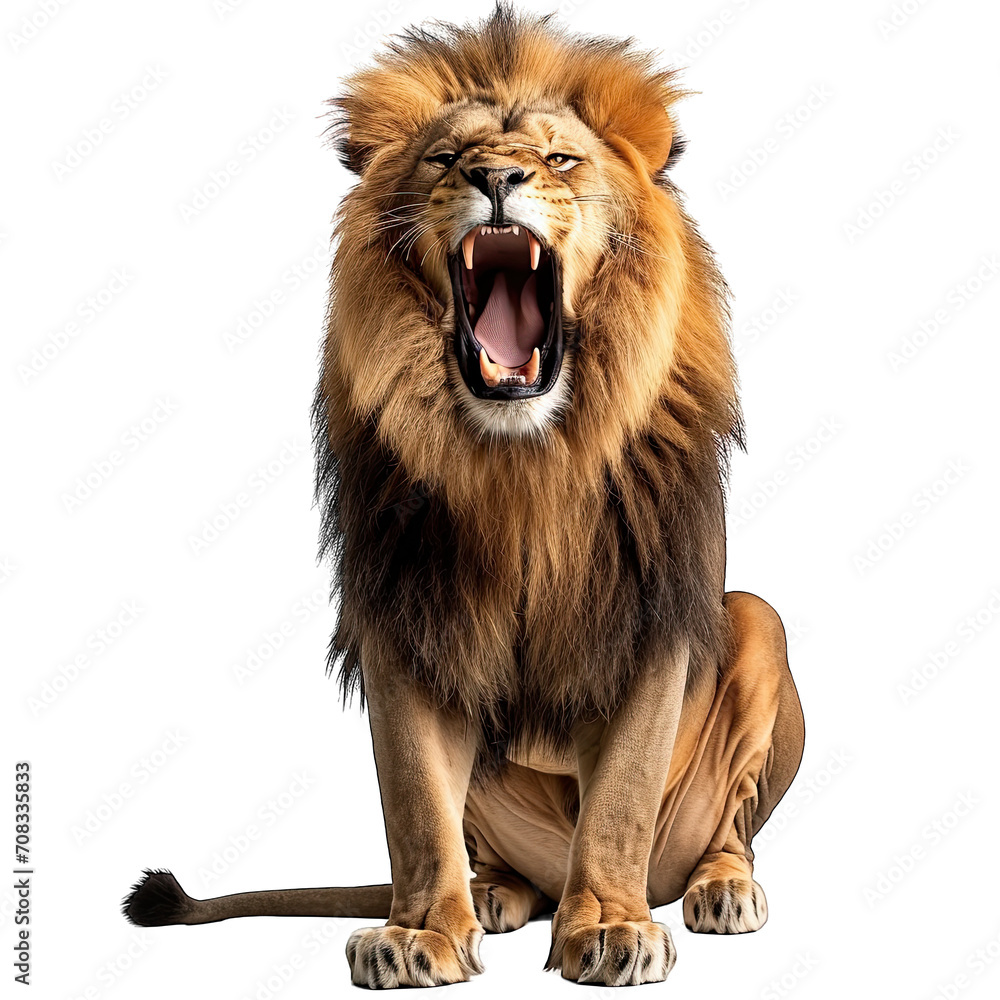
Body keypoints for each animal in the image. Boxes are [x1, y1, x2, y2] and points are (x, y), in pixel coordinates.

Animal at [123, 4, 804, 988]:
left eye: (559, 159)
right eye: (446, 159)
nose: (496, 177)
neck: (522, 461)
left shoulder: (648, 615)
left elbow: (620, 798)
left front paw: (612, 927)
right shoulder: (404, 615)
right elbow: (414, 803)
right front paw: (419, 935)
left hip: (756, 618)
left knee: (728, 829)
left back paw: (717, 889)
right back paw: (493, 895)